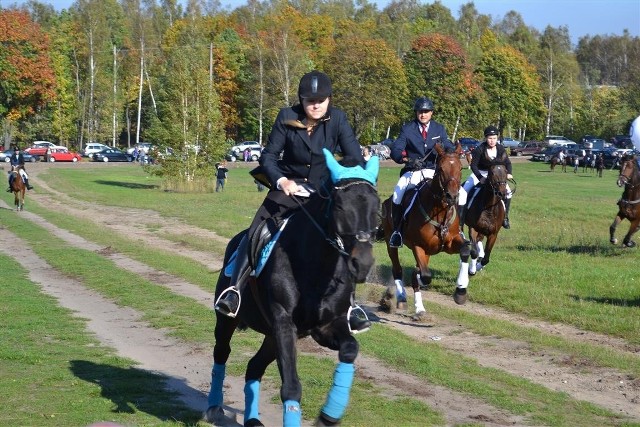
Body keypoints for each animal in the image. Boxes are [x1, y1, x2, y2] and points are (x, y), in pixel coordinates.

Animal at [205, 149, 378, 426]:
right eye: (340, 206)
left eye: (377, 208)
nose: (362, 264)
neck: (316, 266)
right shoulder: (283, 322)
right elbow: (291, 387)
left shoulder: (324, 326)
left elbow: (350, 348)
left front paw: (329, 415)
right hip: (230, 320)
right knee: (222, 351)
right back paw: (213, 406)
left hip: (271, 336)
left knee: (254, 366)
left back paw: (252, 420)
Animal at [380, 143, 470, 318]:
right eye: (441, 168)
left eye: (460, 168)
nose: (451, 196)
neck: (440, 210)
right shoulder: (418, 246)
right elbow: (426, 276)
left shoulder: (451, 244)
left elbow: (464, 251)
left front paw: (460, 292)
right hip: (390, 242)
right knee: (397, 270)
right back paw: (401, 298)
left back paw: (419, 308)